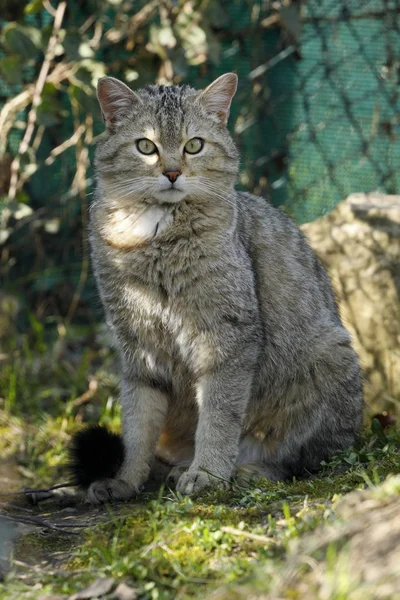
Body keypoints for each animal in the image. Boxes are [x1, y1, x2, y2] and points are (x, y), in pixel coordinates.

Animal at [87, 72, 362, 504]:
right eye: (146, 146)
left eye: (194, 145)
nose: (171, 173)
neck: (155, 237)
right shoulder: (137, 345)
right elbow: (137, 424)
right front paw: (127, 480)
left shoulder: (226, 337)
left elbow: (218, 416)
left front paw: (208, 473)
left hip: (329, 359)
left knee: (302, 460)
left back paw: (245, 470)